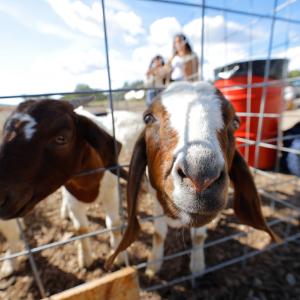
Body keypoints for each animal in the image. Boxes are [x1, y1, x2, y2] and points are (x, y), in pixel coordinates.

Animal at [0, 100, 134, 270]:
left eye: (61, 138)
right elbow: (81, 229)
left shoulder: (111, 195)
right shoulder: (73, 199)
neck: (89, 184)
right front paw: (86, 259)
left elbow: (114, 224)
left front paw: (120, 257)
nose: (1, 196)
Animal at [106, 81, 278, 276]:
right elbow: (159, 233)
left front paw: (197, 266)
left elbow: (199, 235)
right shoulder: (155, 196)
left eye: (235, 122)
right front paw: (153, 266)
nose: (201, 177)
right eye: (148, 118)